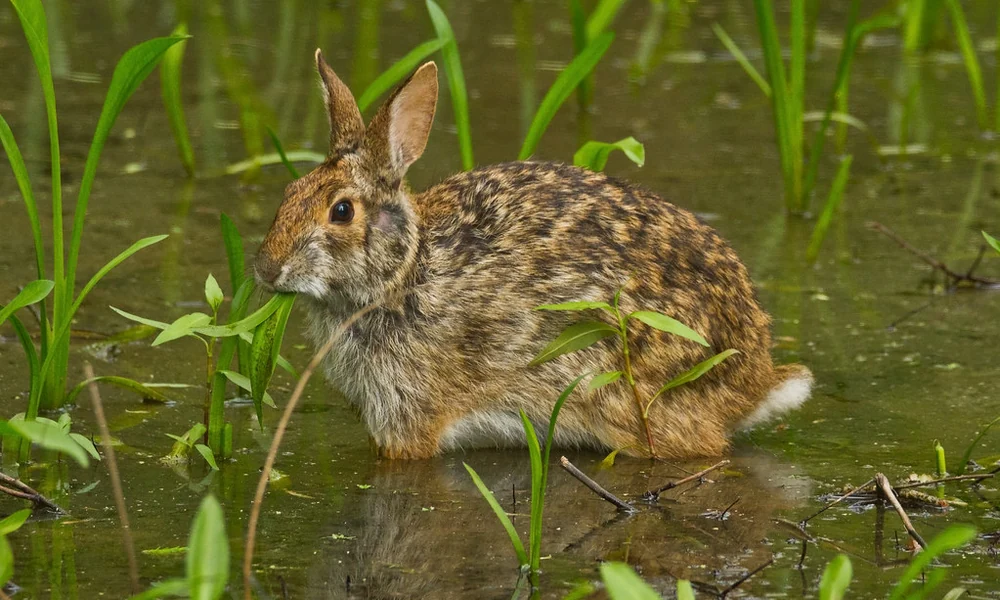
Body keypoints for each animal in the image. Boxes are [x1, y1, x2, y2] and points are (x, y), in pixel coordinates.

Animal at [254, 50, 813, 460]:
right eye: (289, 192)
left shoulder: (409, 416)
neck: (402, 274)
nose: (266, 269)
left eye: (342, 211)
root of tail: (755, 379)